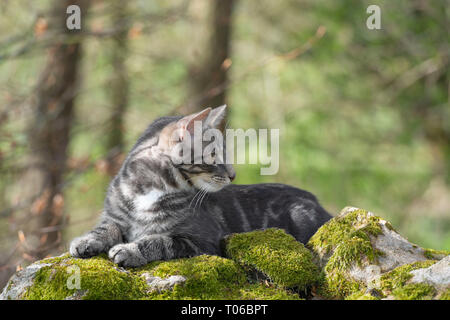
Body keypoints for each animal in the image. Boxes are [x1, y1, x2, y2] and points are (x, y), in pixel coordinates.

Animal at [69, 105, 330, 268]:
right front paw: (86, 240)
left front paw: (131, 250)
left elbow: (159, 240)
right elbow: (107, 227)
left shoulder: (202, 240)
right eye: (214, 155)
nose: (233, 175)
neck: (147, 190)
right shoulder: (114, 215)